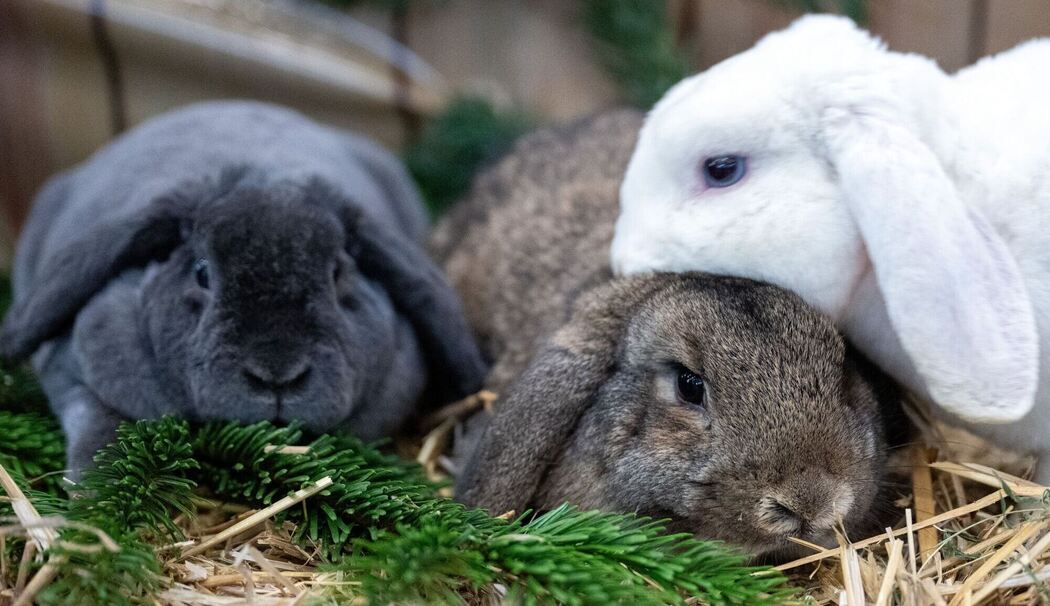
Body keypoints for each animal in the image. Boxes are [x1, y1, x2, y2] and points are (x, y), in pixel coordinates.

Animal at [1, 101, 487, 476]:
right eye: (201, 273)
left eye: (337, 275)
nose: (278, 375)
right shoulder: (76, 376)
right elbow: (101, 430)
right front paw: (89, 502)